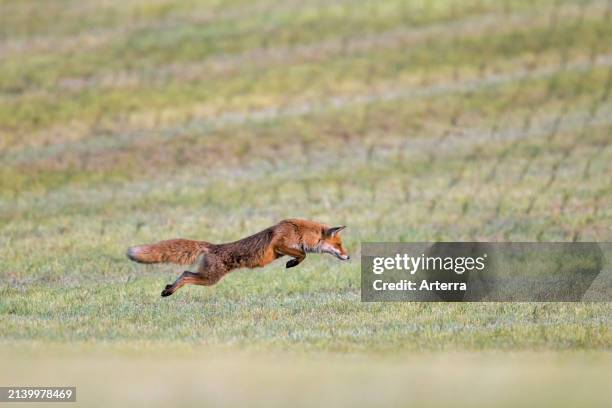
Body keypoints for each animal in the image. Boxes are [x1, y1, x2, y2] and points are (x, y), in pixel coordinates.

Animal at [124, 220, 350, 296]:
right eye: (339, 245)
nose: (348, 257)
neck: (300, 231)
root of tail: (213, 246)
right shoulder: (280, 244)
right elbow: (302, 254)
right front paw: (292, 263)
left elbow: (302, 255)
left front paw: (292, 263)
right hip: (210, 279)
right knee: (186, 274)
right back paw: (169, 291)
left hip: (208, 277)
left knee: (185, 272)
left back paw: (169, 288)